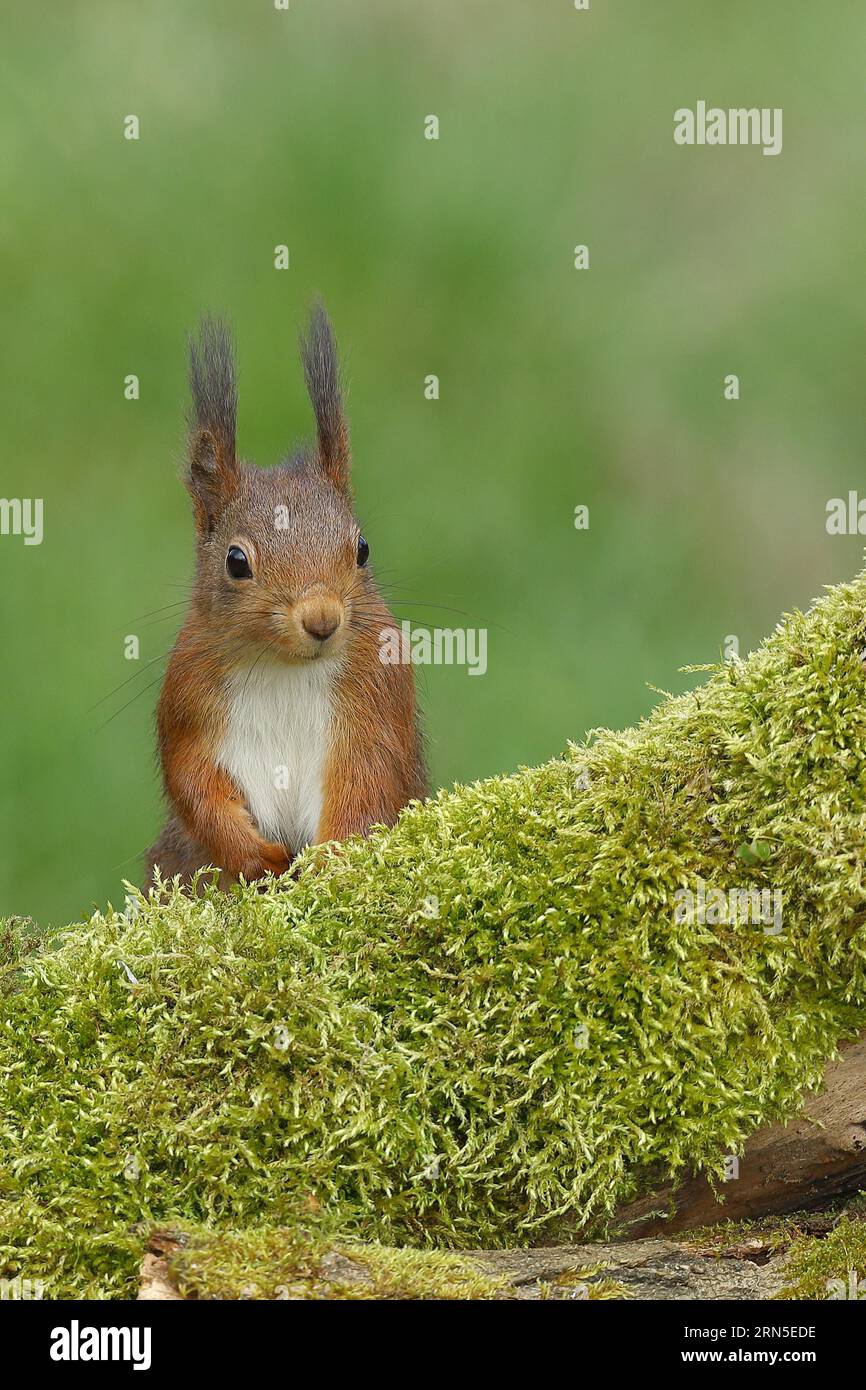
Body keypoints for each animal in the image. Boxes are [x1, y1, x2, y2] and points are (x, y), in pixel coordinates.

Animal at [145, 306, 427, 889]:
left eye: (362, 548)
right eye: (236, 561)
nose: (322, 619)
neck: (284, 666)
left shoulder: (380, 694)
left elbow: (367, 780)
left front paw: (330, 857)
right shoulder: (188, 699)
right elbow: (193, 783)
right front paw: (256, 857)